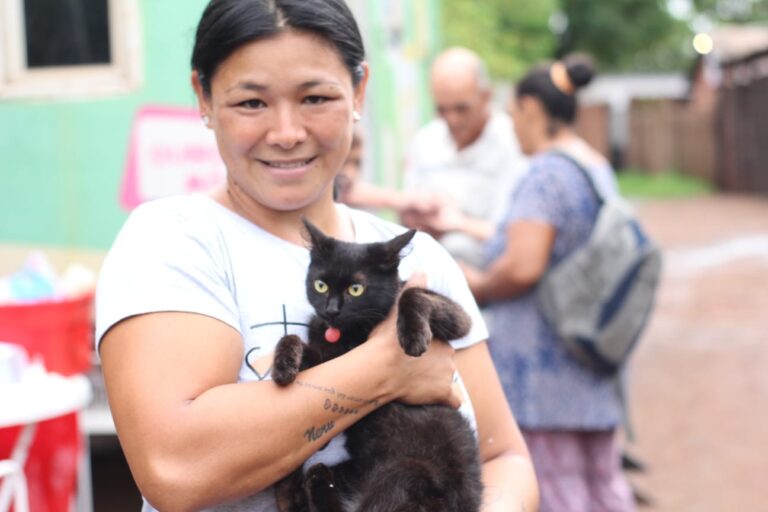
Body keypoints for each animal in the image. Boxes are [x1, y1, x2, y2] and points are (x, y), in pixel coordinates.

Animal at [272, 220, 484, 512]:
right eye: (321, 285)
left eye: (356, 289)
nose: (331, 310)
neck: (350, 332)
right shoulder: (329, 357)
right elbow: (292, 338)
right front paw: (283, 363)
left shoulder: (460, 319)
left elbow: (413, 293)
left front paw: (412, 336)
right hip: (352, 472)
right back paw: (303, 480)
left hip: (404, 474)